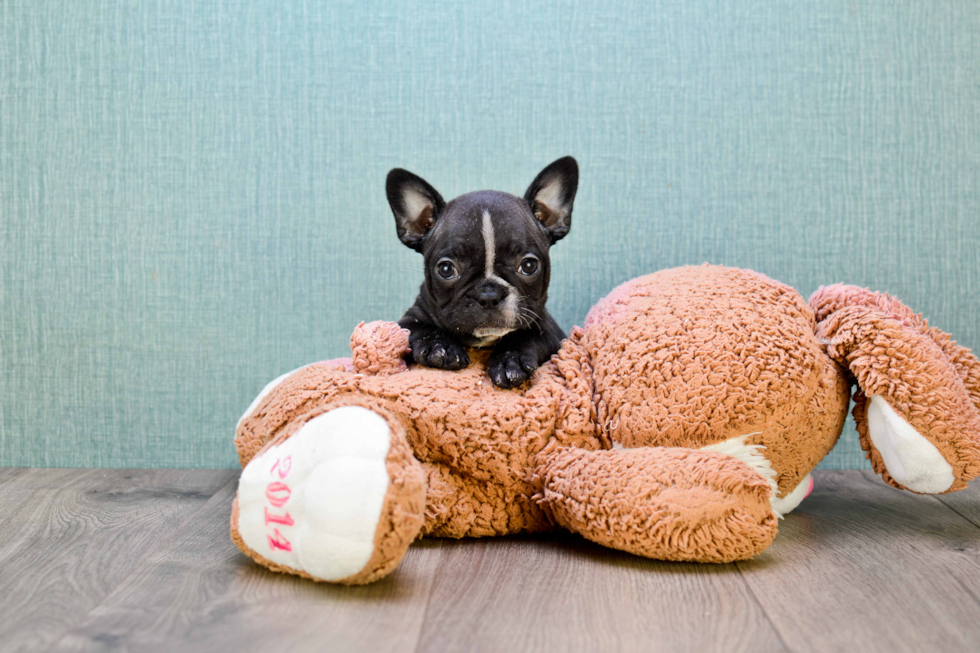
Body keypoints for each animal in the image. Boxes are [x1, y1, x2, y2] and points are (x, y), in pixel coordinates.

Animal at [386, 154, 580, 388]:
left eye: (529, 266)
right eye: (446, 269)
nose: (489, 295)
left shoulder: (550, 329)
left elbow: (527, 336)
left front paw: (510, 361)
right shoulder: (408, 319)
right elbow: (420, 330)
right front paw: (439, 347)